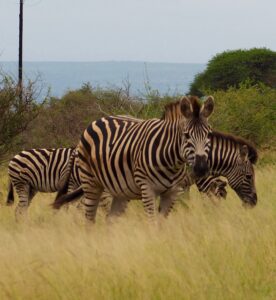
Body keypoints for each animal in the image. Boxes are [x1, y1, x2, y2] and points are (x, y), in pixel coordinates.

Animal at [52, 96, 215, 223]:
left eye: (209, 134)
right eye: (186, 135)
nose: (201, 168)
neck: (171, 161)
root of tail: (98, 120)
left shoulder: (173, 192)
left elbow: (161, 224)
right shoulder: (147, 188)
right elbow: (152, 222)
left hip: (119, 190)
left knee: (110, 219)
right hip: (90, 182)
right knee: (89, 219)